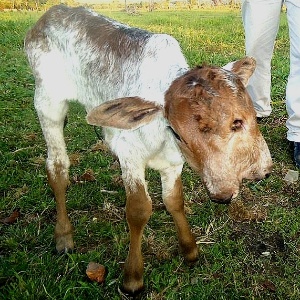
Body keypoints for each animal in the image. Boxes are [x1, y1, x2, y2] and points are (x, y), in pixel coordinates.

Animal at [24, 4, 274, 296]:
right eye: (178, 132)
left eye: (242, 119)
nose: (222, 193)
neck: (162, 139)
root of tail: (52, 12)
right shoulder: (130, 157)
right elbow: (138, 210)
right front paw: (133, 277)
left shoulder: (173, 164)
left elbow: (174, 200)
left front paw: (190, 250)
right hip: (48, 103)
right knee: (57, 167)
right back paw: (63, 235)